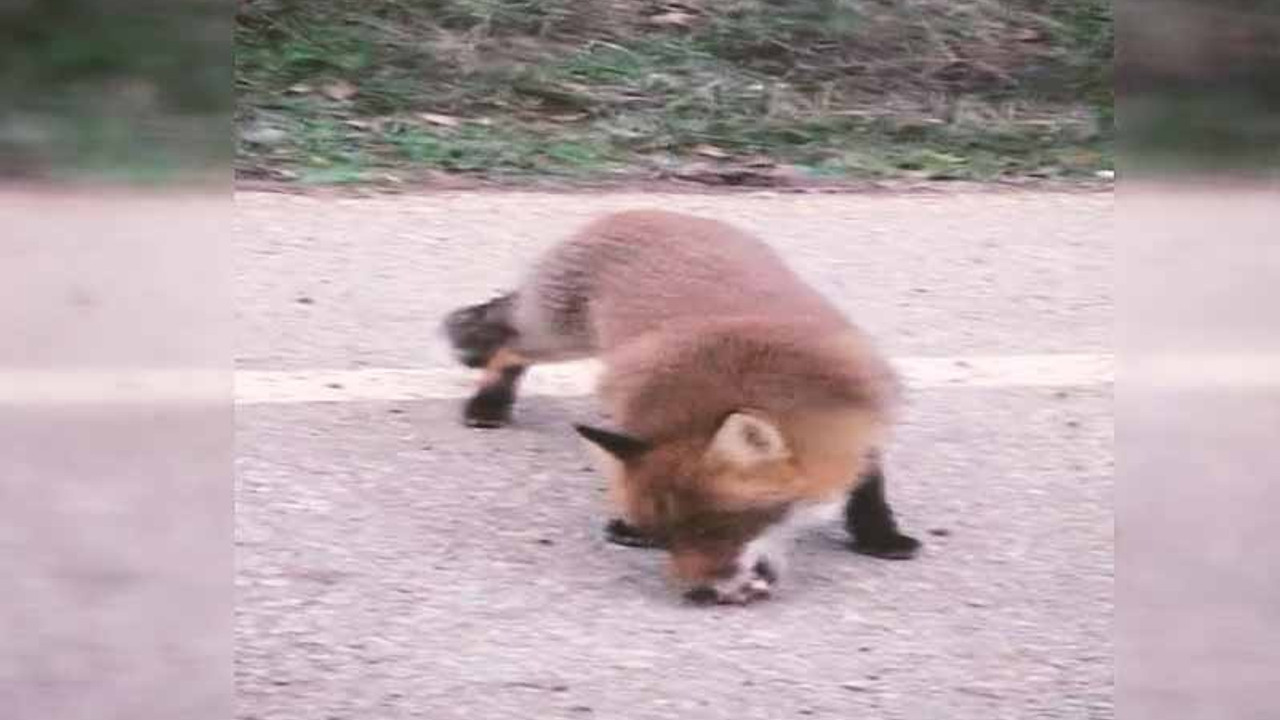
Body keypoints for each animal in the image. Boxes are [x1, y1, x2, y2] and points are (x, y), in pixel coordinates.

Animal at [442, 210, 921, 602]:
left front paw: (880, 535)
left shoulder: (869, 419)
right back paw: (488, 404)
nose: (698, 594)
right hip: (558, 337)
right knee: (508, 349)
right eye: (663, 539)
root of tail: (629, 210)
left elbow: (868, 486)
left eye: (718, 529)